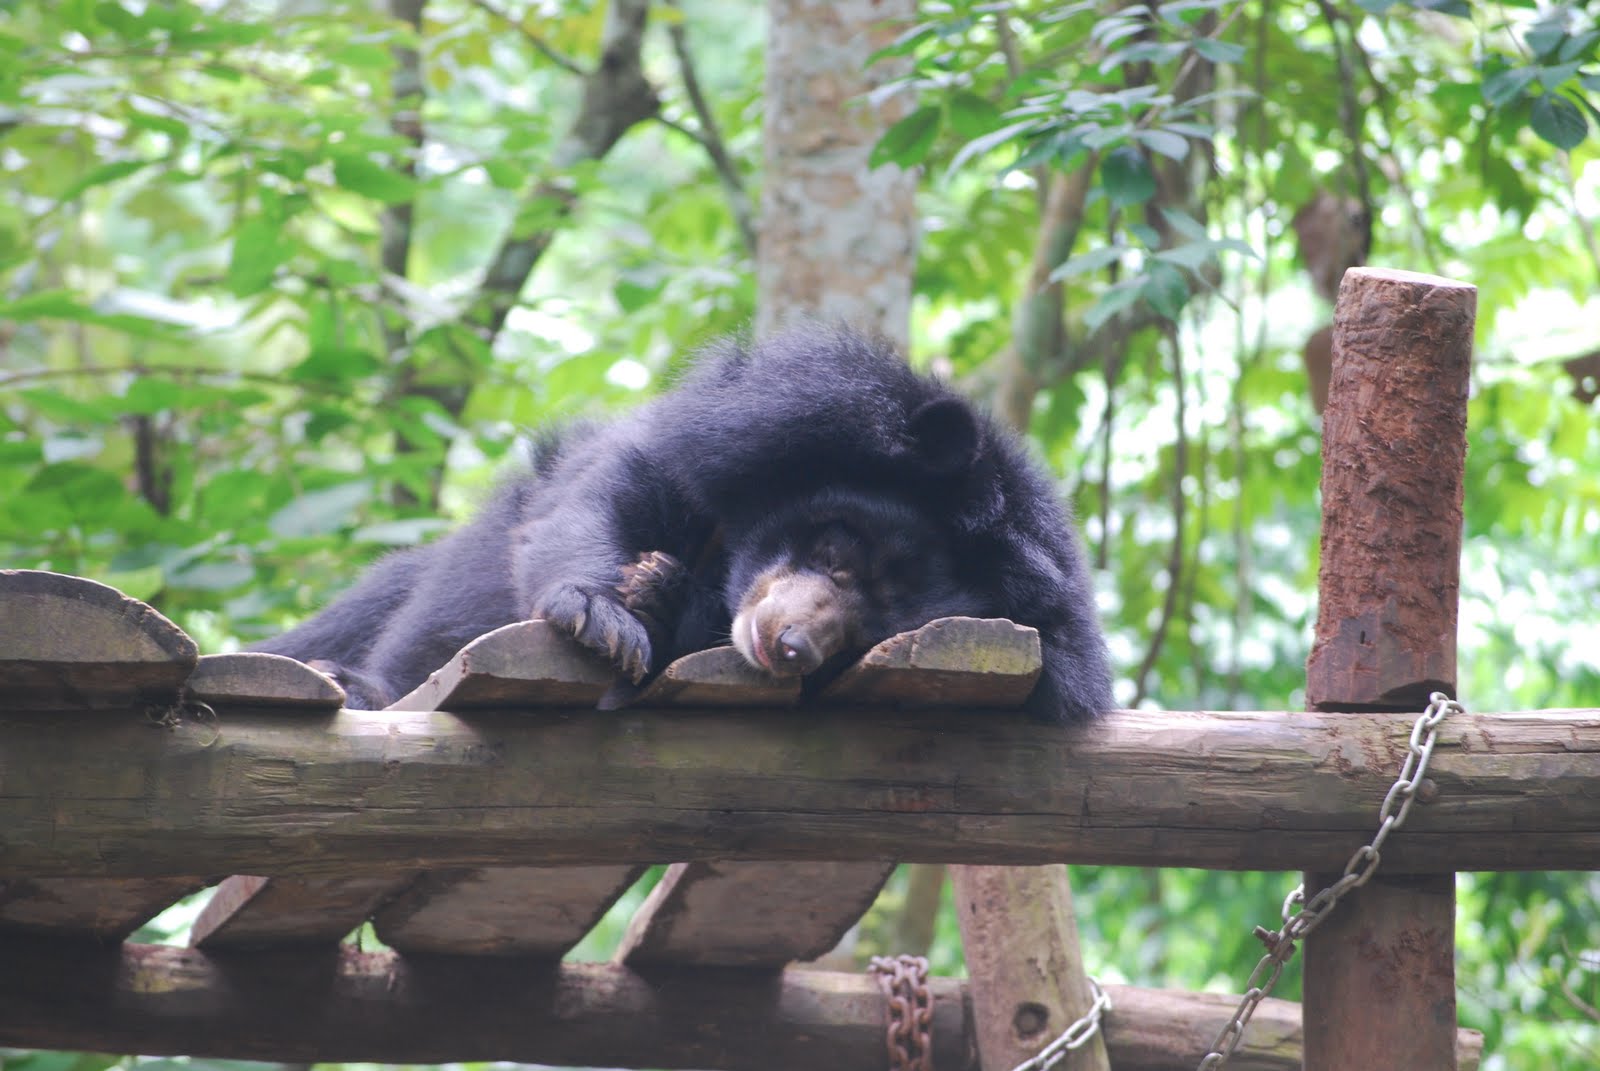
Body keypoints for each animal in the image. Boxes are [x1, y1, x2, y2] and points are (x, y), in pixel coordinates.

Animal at [253, 325, 1114, 723]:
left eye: (867, 638)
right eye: (839, 555)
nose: (791, 646)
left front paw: (662, 604)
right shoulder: (756, 424)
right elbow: (612, 490)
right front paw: (603, 615)